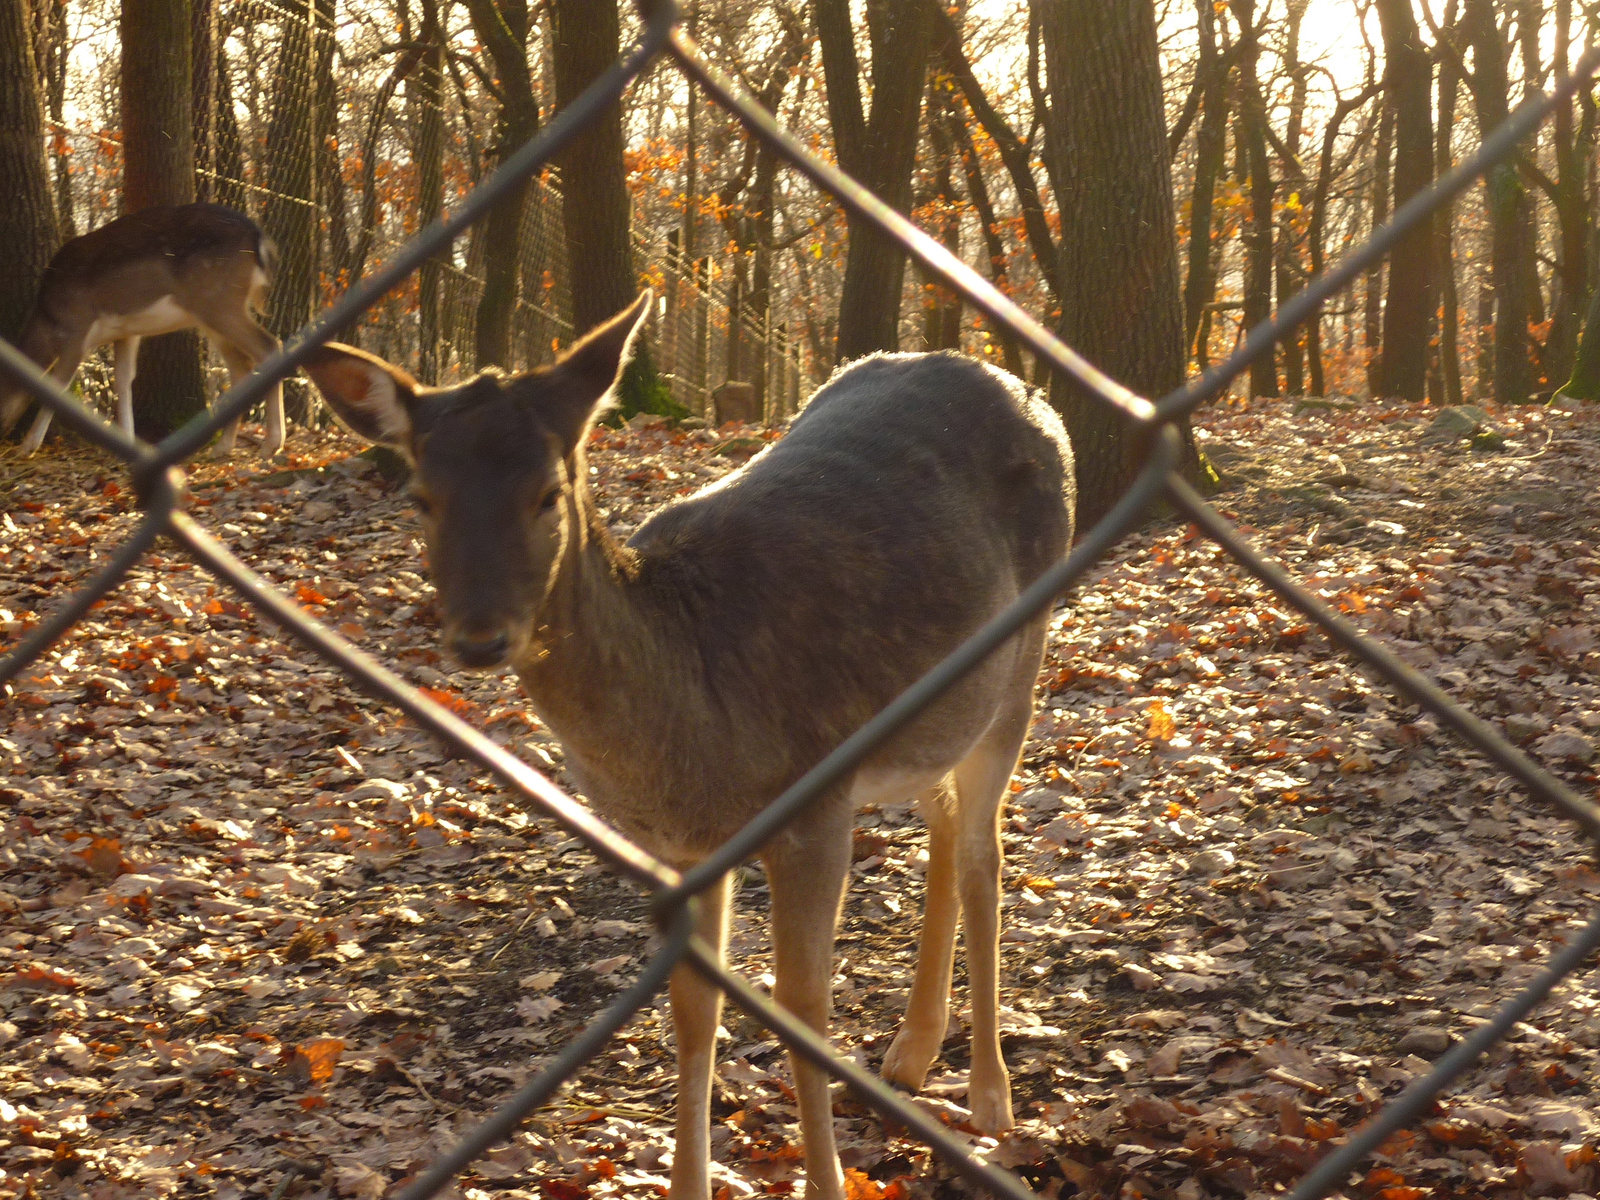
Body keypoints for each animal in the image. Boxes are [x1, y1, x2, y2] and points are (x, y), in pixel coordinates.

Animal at [0, 202, 284, 454]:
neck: (47, 318)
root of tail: (259, 239)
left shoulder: (76, 329)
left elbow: (57, 385)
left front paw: (28, 446)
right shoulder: (126, 333)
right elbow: (123, 380)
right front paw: (127, 440)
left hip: (219, 302)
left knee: (269, 347)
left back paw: (271, 444)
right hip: (211, 313)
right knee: (240, 365)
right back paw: (223, 446)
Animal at [300, 299, 1075, 1200]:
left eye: (547, 492)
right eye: (422, 497)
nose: (480, 637)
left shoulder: (814, 803)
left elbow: (802, 1004)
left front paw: (824, 1181)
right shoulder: (681, 850)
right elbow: (691, 1009)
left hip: (1022, 663)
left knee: (986, 849)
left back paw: (990, 1095)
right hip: (938, 716)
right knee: (947, 823)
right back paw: (912, 1052)